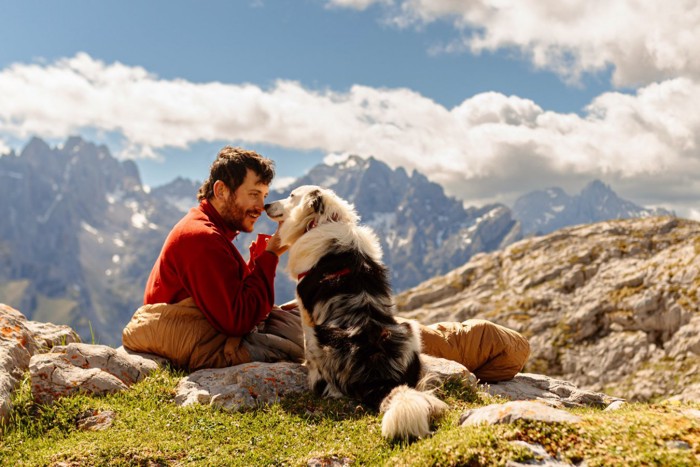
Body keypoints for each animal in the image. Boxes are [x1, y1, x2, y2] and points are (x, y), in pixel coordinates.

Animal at [266, 185, 446, 440]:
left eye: (291, 196)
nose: (265, 205)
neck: (322, 221)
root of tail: (381, 375)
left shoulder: (305, 311)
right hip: (409, 329)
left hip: (321, 339)